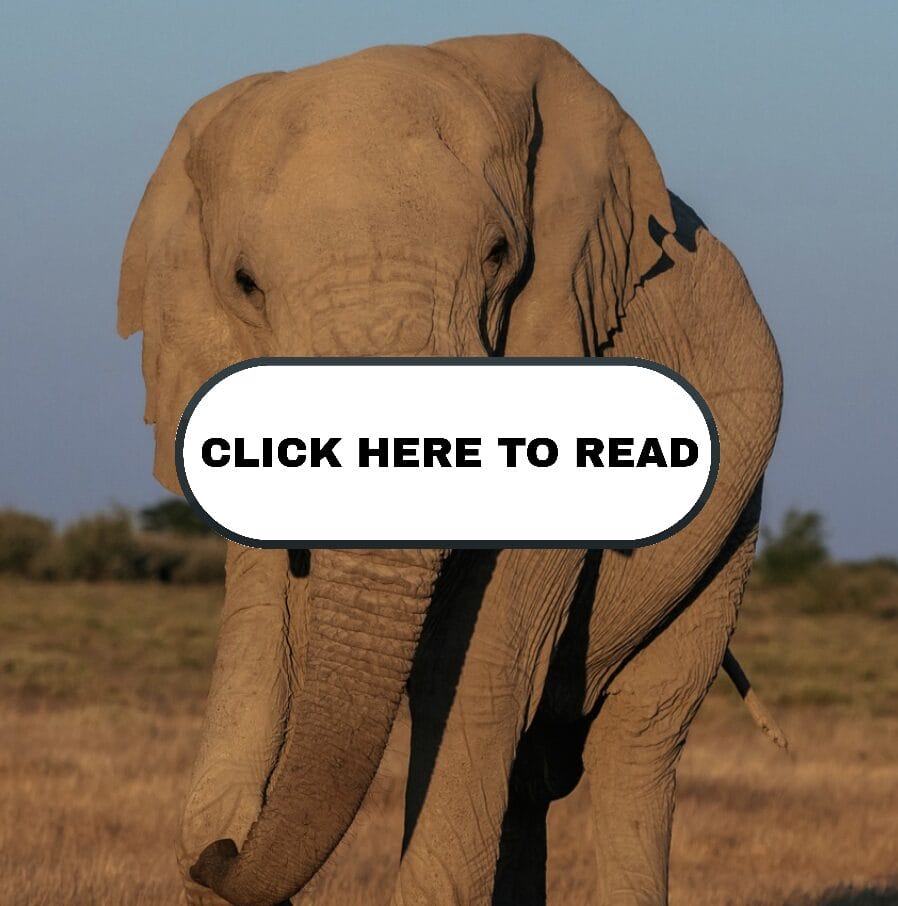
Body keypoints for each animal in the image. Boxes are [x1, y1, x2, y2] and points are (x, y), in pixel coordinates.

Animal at [117, 34, 783, 906]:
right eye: (244, 285)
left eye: (499, 257)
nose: (216, 855)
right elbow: (265, 635)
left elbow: (465, 671)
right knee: (534, 773)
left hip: (731, 529)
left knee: (638, 738)